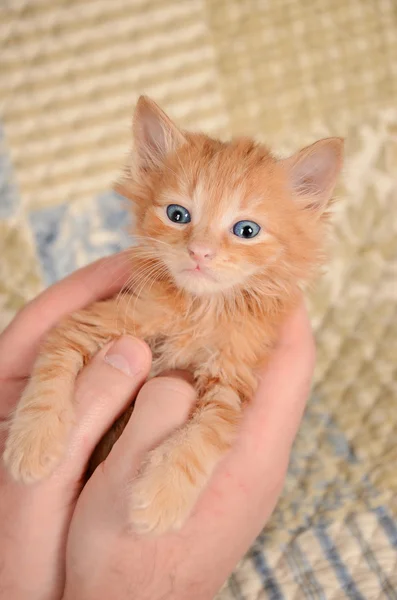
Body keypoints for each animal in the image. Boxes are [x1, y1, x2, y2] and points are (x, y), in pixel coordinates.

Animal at [3, 97, 342, 536]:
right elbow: (50, 369)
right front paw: (33, 444)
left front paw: (162, 496)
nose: (199, 252)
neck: (200, 309)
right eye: (178, 214)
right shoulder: (94, 321)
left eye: (246, 230)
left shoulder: (232, 377)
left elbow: (205, 435)